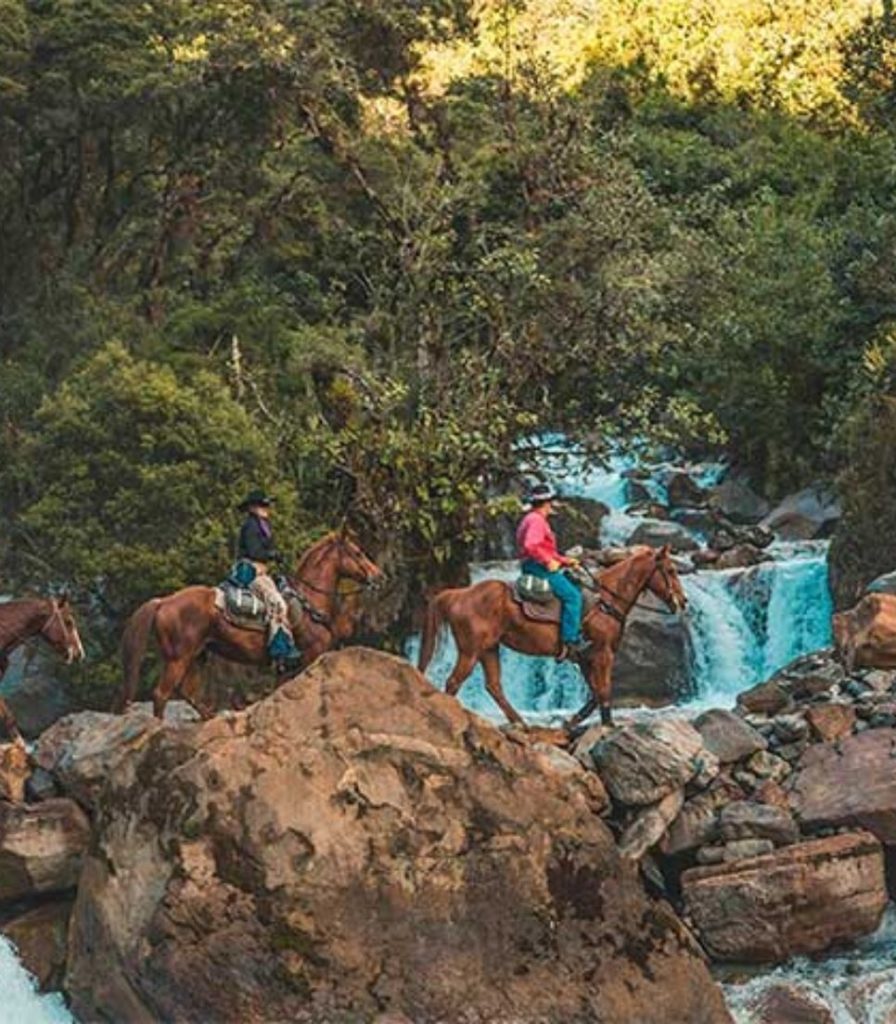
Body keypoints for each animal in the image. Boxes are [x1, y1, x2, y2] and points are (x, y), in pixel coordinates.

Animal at [118, 536, 380, 720]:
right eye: (357, 552)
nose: (378, 575)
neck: (309, 601)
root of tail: (163, 601)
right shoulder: (310, 657)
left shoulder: (285, 668)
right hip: (178, 658)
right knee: (162, 694)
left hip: (196, 657)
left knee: (186, 691)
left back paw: (208, 717)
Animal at [417, 544, 688, 729]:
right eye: (671, 570)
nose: (683, 601)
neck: (606, 600)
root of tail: (457, 594)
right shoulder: (603, 654)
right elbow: (604, 690)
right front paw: (608, 725)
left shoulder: (586, 658)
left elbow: (594, 694)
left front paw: (572, 721)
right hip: (470, 650)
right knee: (454, 682)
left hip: (489, 649)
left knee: (493, 686)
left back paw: (520, 723)